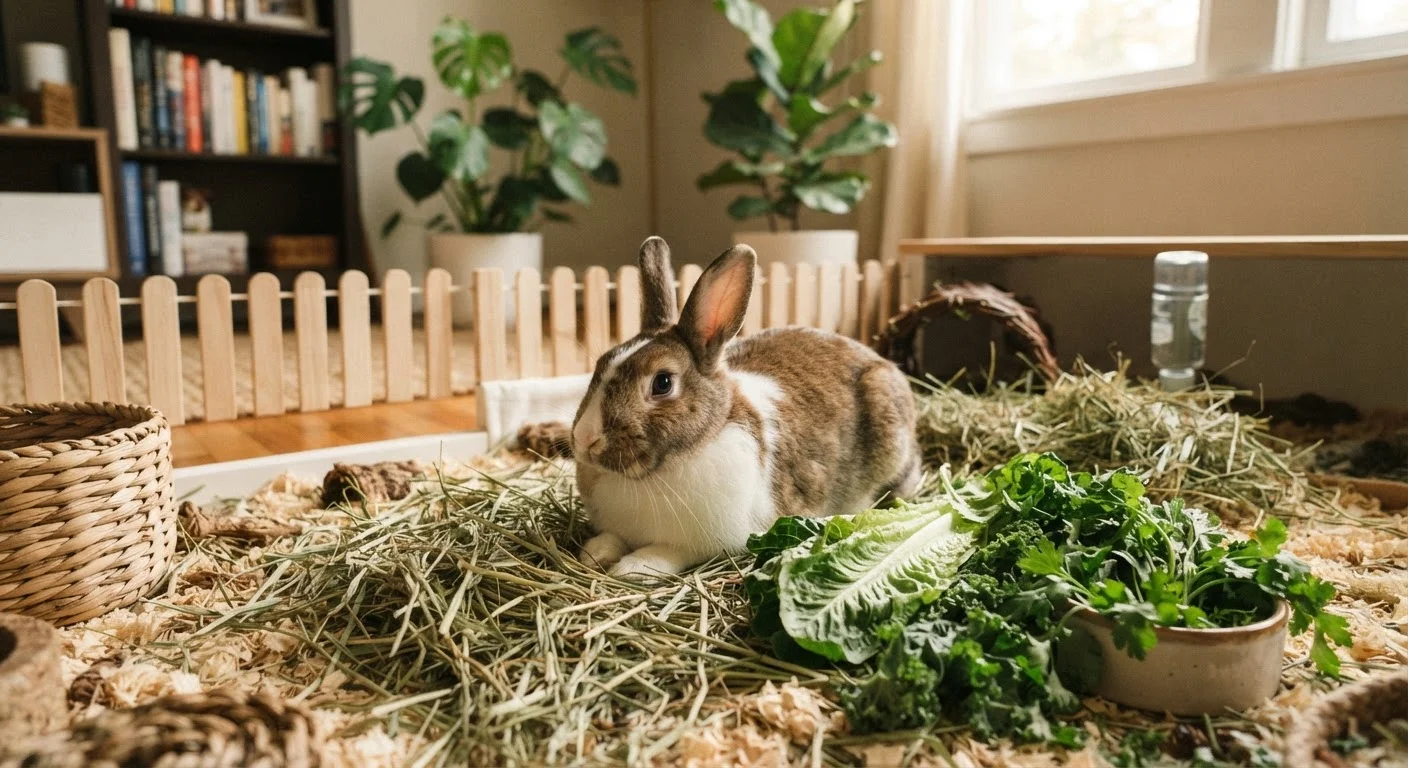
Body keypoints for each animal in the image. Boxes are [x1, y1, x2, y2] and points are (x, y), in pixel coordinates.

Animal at [571, 236, 922, 579]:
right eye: (600, 365)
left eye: (662, 383)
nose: (585, 439)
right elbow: (612, 537)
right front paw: (593, 553)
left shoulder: (708, 541)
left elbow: (667, 552)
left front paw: (631, 567)